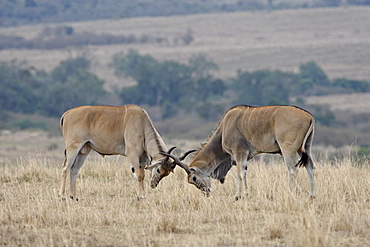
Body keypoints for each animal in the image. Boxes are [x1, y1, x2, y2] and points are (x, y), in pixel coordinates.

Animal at [57, 104, 194, 201]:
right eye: (159, 169)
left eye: (166, 174)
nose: (154, 184)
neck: (142, 124)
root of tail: (66, 114)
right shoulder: (132, 154)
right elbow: (139, 175)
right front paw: (141, 196)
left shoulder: (142, 158)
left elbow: (142, 175)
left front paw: (142, 195)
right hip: (73, 148)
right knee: (65, 168)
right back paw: (62, 196)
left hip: (83, 151)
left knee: (74, 170)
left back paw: (74, 197)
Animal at [160, 105, 316, 200]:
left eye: (194, 178)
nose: (207, 192)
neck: (224, 129)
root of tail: (309, 116)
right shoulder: (239, 157)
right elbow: (239, 174)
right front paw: (238, 196)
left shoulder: (240, 153)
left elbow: (241, 173)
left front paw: (243, 195)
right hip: (305, 149)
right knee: (310, 168)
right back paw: (312, 196)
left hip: (288, 149)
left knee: (293, 170)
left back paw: (290, 195)